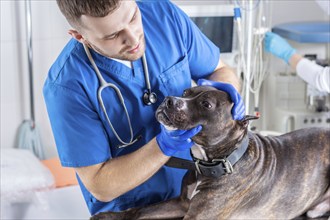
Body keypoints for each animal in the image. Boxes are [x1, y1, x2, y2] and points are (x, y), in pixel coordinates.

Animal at [91, 85, 330, 218]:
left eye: (206, 104)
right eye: (186, 92)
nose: (169, 100)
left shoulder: (196, 216)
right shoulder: (181, 203)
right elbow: (138, 210)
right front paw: (108, 216)